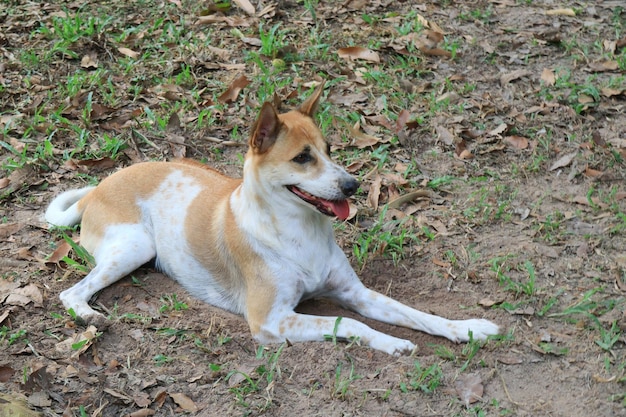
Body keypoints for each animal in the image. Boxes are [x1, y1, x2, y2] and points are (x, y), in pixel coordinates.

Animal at [45, 83, 498, 354]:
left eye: (330, 149)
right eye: (302, 158)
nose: (352, 185)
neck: (299, 232)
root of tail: (98, 188)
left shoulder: (356, 293)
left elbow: (416, 313)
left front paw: (467, 329)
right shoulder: (271, 321)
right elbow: (349, 325)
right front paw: (392, 343)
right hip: (136, 247)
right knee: (70, 293)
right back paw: (89, 317)